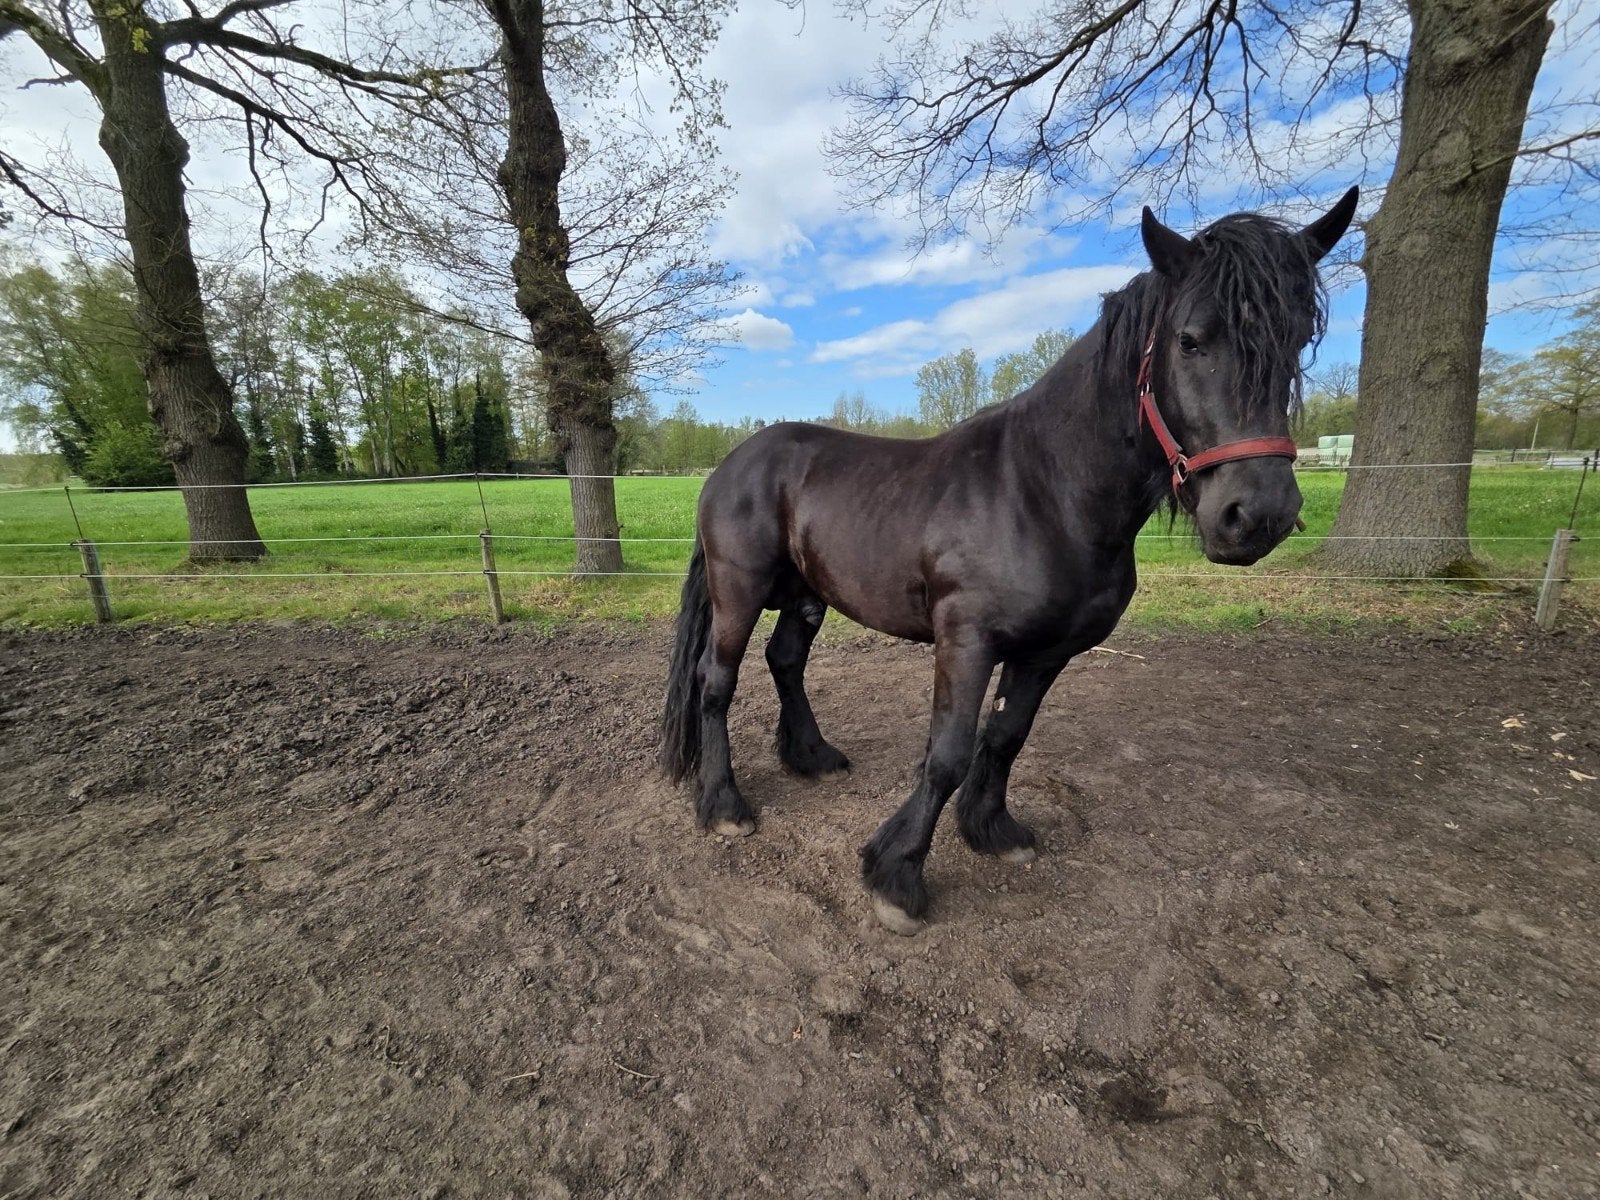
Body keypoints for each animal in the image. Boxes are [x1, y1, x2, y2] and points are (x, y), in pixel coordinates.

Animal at [660, 189, 1359, 935]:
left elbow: (1005, 737)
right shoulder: (966, 641)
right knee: (716, 683)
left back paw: (811, 757)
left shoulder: (1048, 651)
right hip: (738, 589)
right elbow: (947, 754)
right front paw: (897, 875)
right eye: (1190, 340)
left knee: (785, 661)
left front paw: (991, 830)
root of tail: (732, 463)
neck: (1044, 491)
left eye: (1296, 341)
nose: (1256, 515)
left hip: (806, 594)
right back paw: (724, 805)